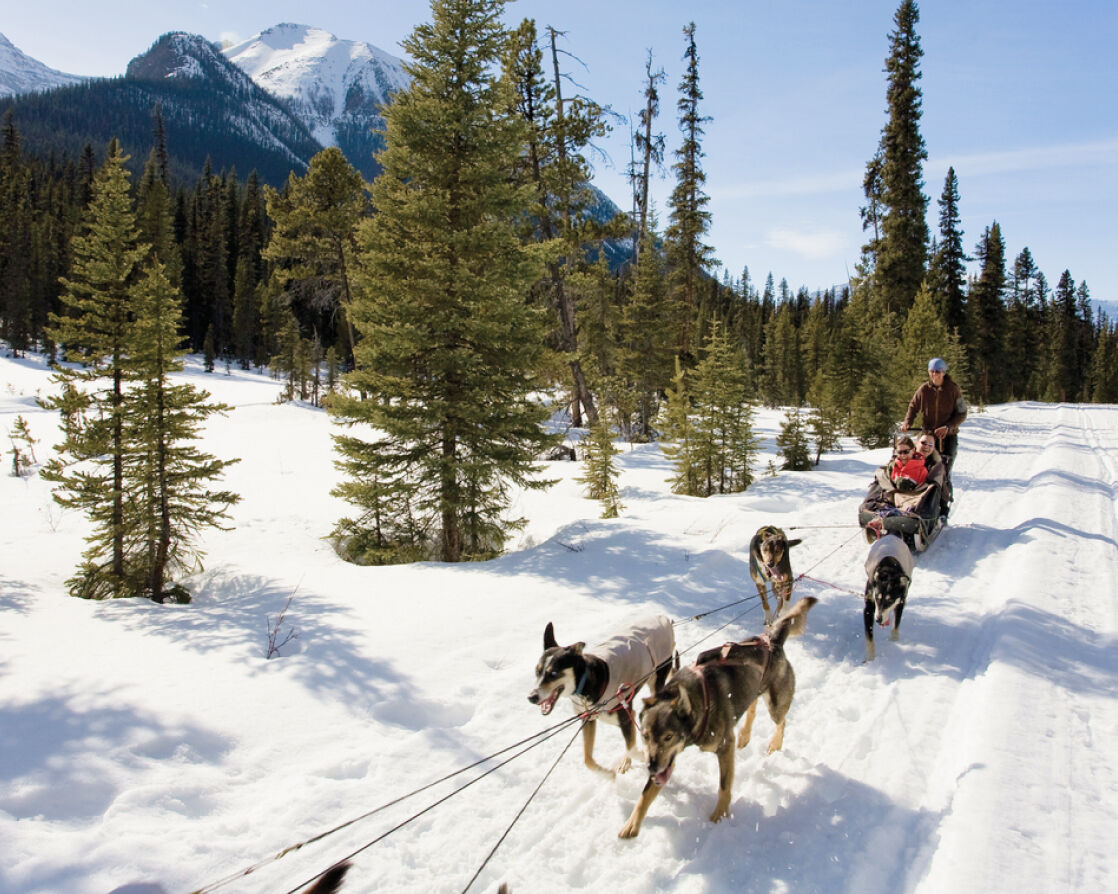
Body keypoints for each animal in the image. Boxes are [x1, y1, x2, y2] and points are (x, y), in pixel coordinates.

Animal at [617, 594, 818, 840]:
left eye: (668, 737)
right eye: (645, 737)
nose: (651, 767)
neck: (698, 702)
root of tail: (771, 640)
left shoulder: (723, 746)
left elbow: (724, 786)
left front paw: (719, 816)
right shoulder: (666, 761)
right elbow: (646, 793)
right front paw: (632, 824)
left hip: (776, 704)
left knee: (782, 720)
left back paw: (774, 744)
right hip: (753, 689)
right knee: (752, 707)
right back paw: (745, 735)